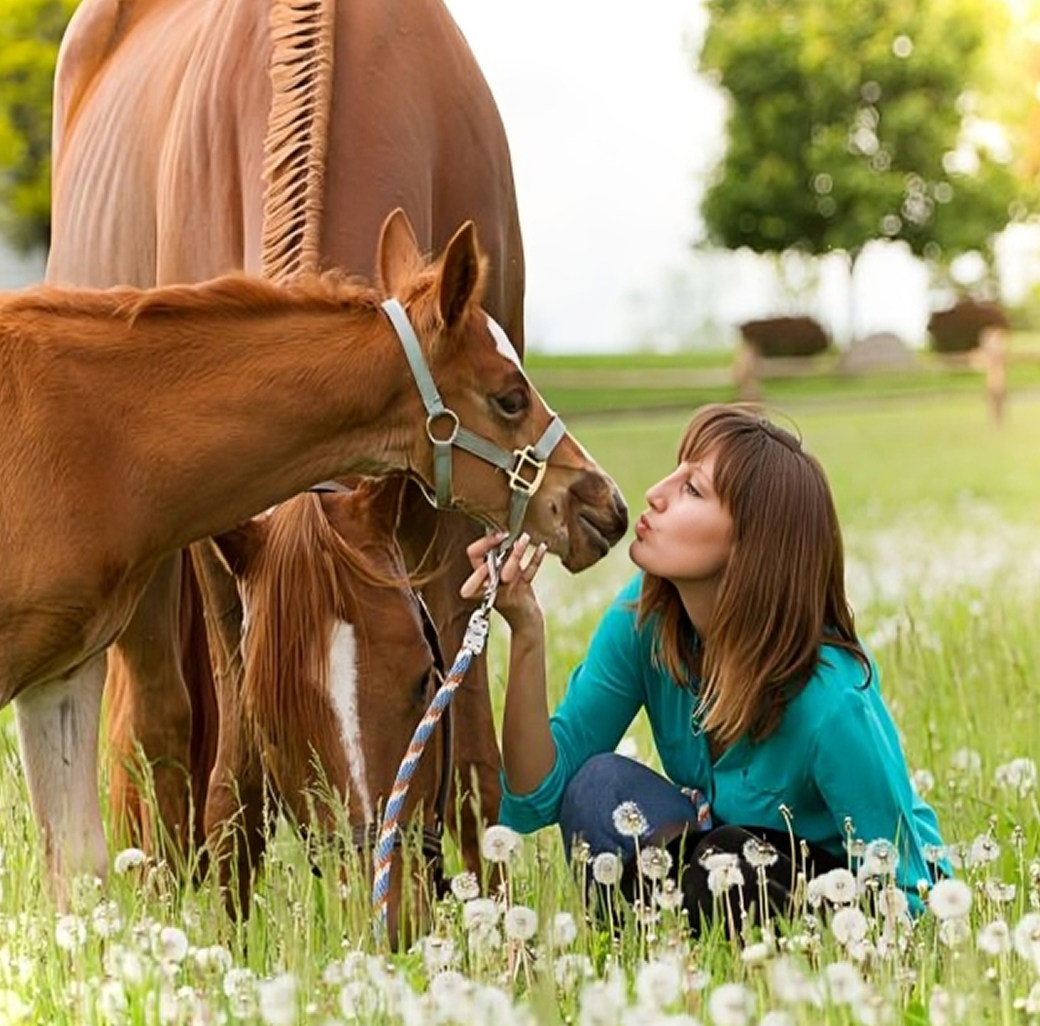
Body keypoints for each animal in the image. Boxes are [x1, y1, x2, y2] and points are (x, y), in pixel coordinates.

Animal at [1, 208, 629, 905]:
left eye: (422, 678)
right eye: (511, 397)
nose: (605, 507)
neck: (90, 435)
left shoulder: (62, 676)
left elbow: (78, 875)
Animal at [47, 0, 536, 871]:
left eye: (418, 676)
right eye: (279, 711)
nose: (369, 859)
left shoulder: (454, 509)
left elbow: (471, 754)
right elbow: (230, 782)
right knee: (160, 730)